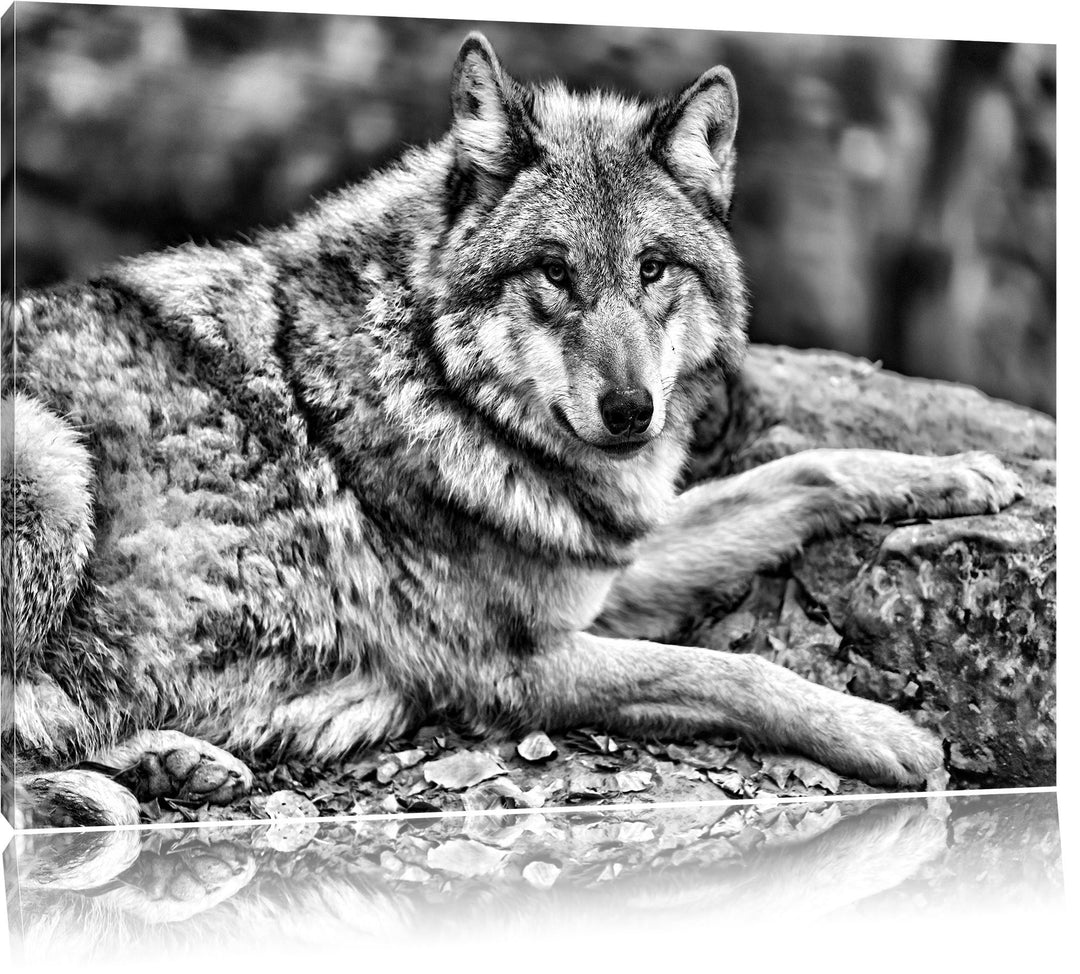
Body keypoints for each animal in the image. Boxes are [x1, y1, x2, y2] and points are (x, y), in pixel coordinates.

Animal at [2, 33, 1023, 827]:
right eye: (554, 272)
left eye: (653, 268)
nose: (631, 411)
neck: (441, 384)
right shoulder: (518, 670)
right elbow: (735, 673)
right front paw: (886, 733)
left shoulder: (606, 571)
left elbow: (803, 471)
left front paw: (961, 472)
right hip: (48, 464)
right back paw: (122, 785)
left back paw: (173, 761)